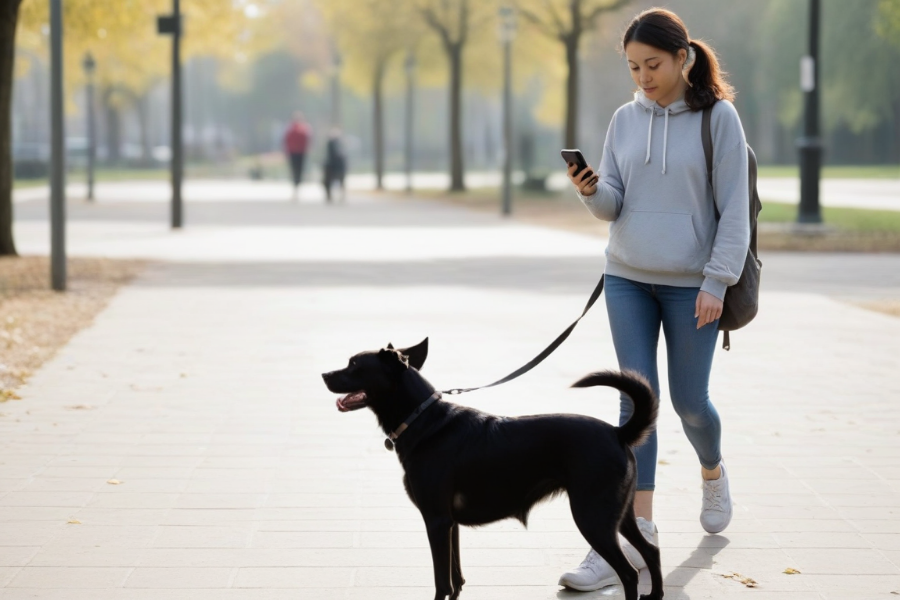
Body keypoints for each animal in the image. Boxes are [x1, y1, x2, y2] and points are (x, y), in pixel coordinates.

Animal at [322, 338, 660, 600]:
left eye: (354, 364)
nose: (324, 373)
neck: (424, 420)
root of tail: (617, 432)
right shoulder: (450, 524)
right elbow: (455, 578)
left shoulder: (436, 521)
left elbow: (441, 582)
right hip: (620, 515)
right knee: (651, 552)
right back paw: (655, 595)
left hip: (593, 518)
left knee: (629, 574)